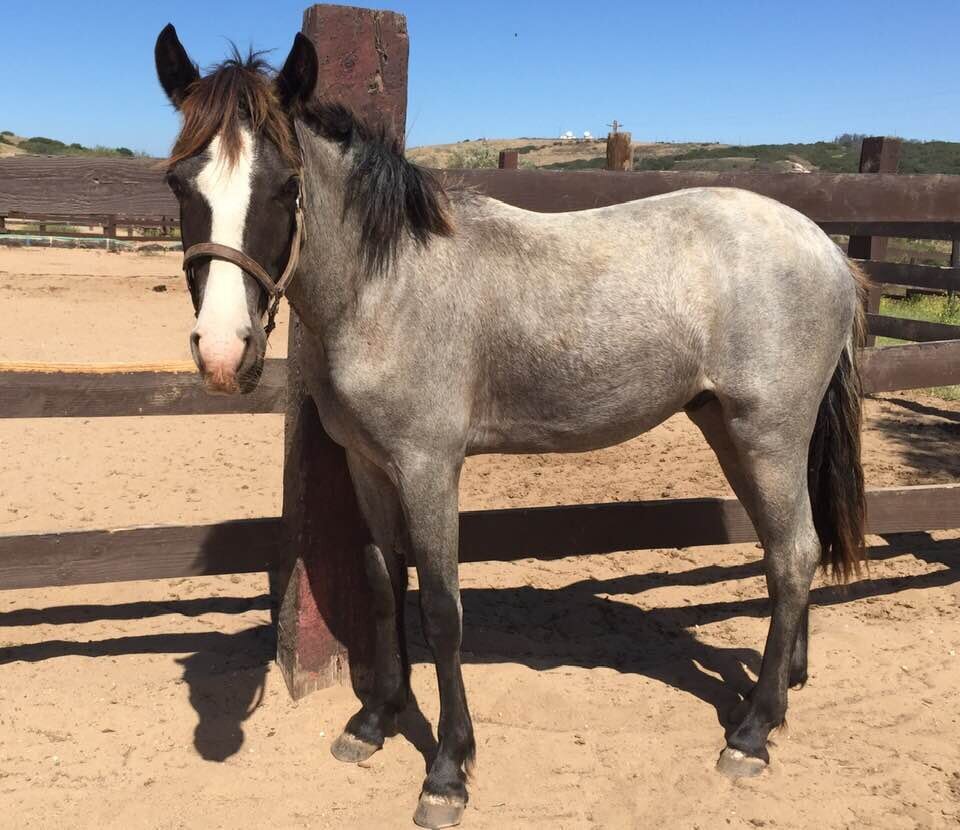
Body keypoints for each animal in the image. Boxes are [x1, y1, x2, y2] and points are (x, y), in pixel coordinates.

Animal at [154, 26, 868, 830]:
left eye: (284, 186)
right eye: (180, 184)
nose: (222, 352)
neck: (388, 285)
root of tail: (827, 248)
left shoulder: (430, 467)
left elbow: (441, 608)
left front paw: (447, 770)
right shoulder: (370, 465)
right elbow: (381, 584)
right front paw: (374, 721)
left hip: (767, 434)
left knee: (794, 553)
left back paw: (751, 732)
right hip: (734, 432)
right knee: (790, 551)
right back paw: (783, 692)